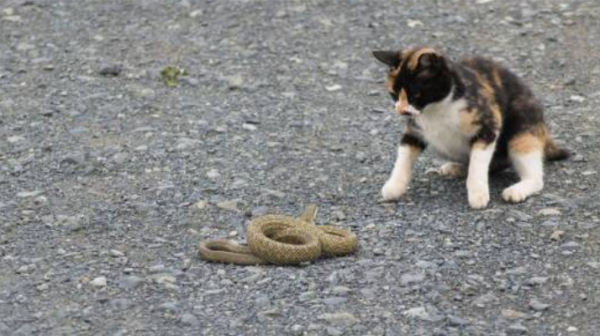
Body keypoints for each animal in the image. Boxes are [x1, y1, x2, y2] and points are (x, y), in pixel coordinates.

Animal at [372, 46, 568, 209]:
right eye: (394, 94)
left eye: (415, 94)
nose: (401, 110)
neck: (437, 109)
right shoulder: (413, 131)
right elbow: (403, 159)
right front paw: (394, 186)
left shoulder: (488, 126)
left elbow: (478, 164)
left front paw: (477, 194)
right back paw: (457, 168)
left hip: (522, 129)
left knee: (535, 177)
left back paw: (517, 190)